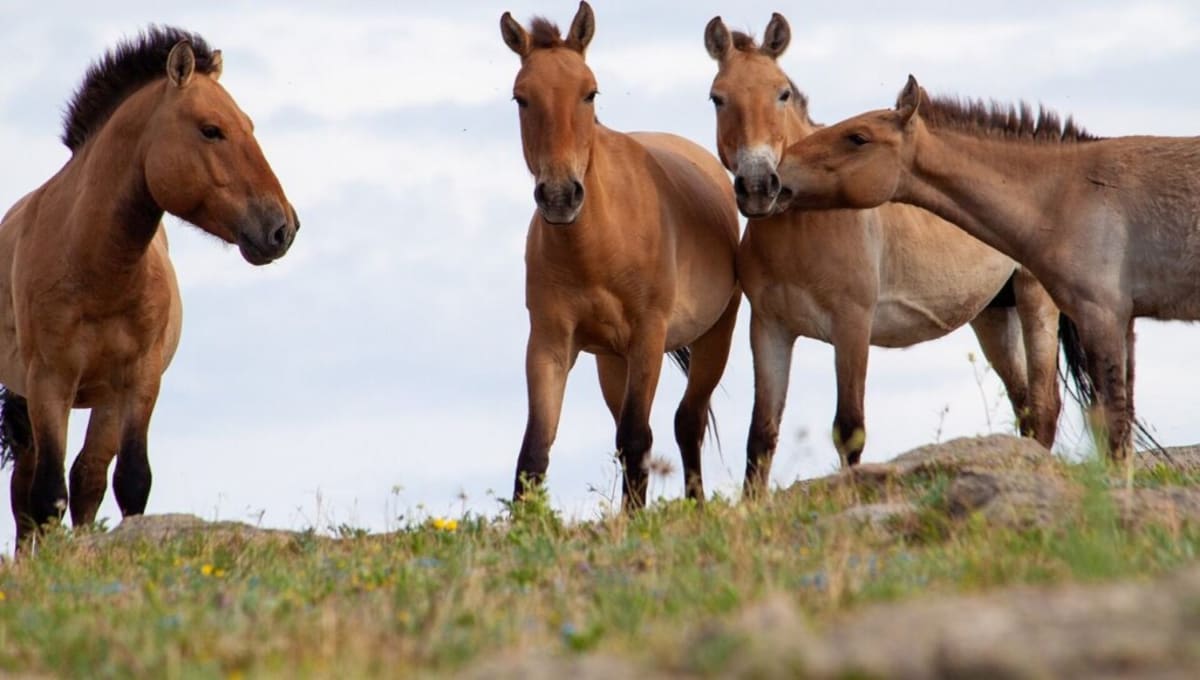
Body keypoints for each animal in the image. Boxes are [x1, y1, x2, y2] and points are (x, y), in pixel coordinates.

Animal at [0, 26, 298, 549]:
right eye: (211, 129)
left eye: (249, 125)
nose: (283, 227)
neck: (97, 269)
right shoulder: (48, 383)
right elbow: (46, 495)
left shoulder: (139, 379)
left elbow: (129, 480)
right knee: (28, 494)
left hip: (104, 399)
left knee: (88, 477)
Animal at [500, 2, 741, 510]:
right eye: (520, 98)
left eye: (589, 93)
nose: (559, 196)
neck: (595, 247)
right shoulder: (549, 344)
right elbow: (535, 450)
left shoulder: (648, 335)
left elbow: (635, 437)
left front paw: (636, 518)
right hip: (611, 362)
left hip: (715, 338)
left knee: (687, 421)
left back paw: (696, 504)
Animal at [704, 15, 1061, 493]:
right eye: (717, 97)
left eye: (782, 93)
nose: (760, 186)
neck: (804, 225)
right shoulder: (769, 329)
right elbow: (761, 436)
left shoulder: (852, 324)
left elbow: (849, 428)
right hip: (993, 315)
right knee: (1025, 406)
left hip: (1035, 300)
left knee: (1043, 407)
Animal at [773, 74, 1196, 461]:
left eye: (858, 137)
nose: (775, 176)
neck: (1071, 189)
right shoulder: (1122, 322)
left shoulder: (1102, 315)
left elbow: (1116, 430)